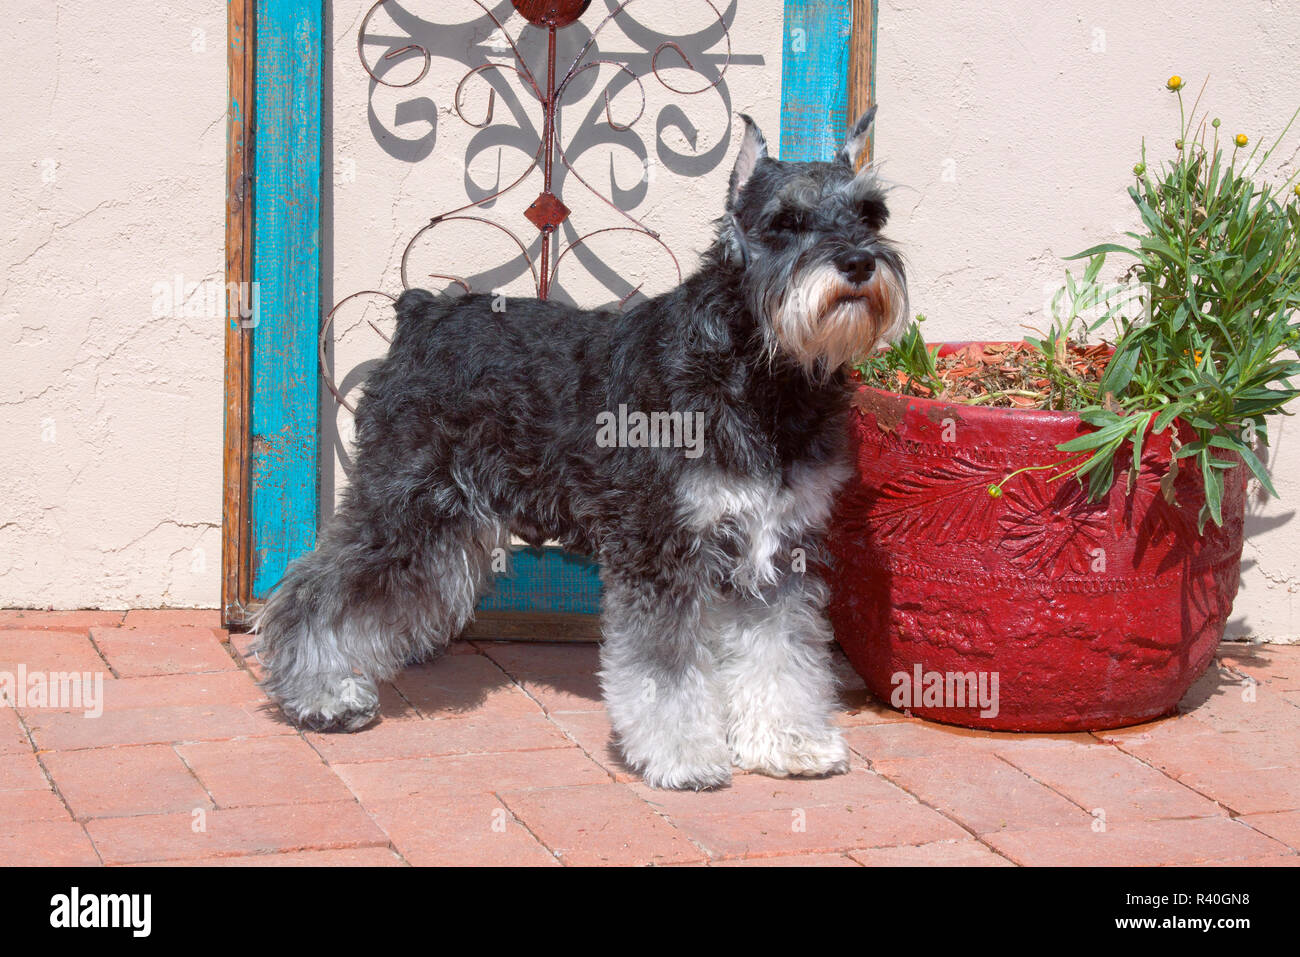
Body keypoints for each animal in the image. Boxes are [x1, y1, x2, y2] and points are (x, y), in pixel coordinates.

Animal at [253, 108, 904, 790]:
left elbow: (780, 654)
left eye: (872, 215)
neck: (760, 374)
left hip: (445, 523)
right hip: (405, 509)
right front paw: (684, 756)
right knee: (313, 595)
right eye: (785, 222)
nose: (858, 263)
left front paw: (789, 743)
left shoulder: (777, 549)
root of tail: (420, 313)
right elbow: (665, 669)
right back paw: (320, 696)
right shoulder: (658, 548)